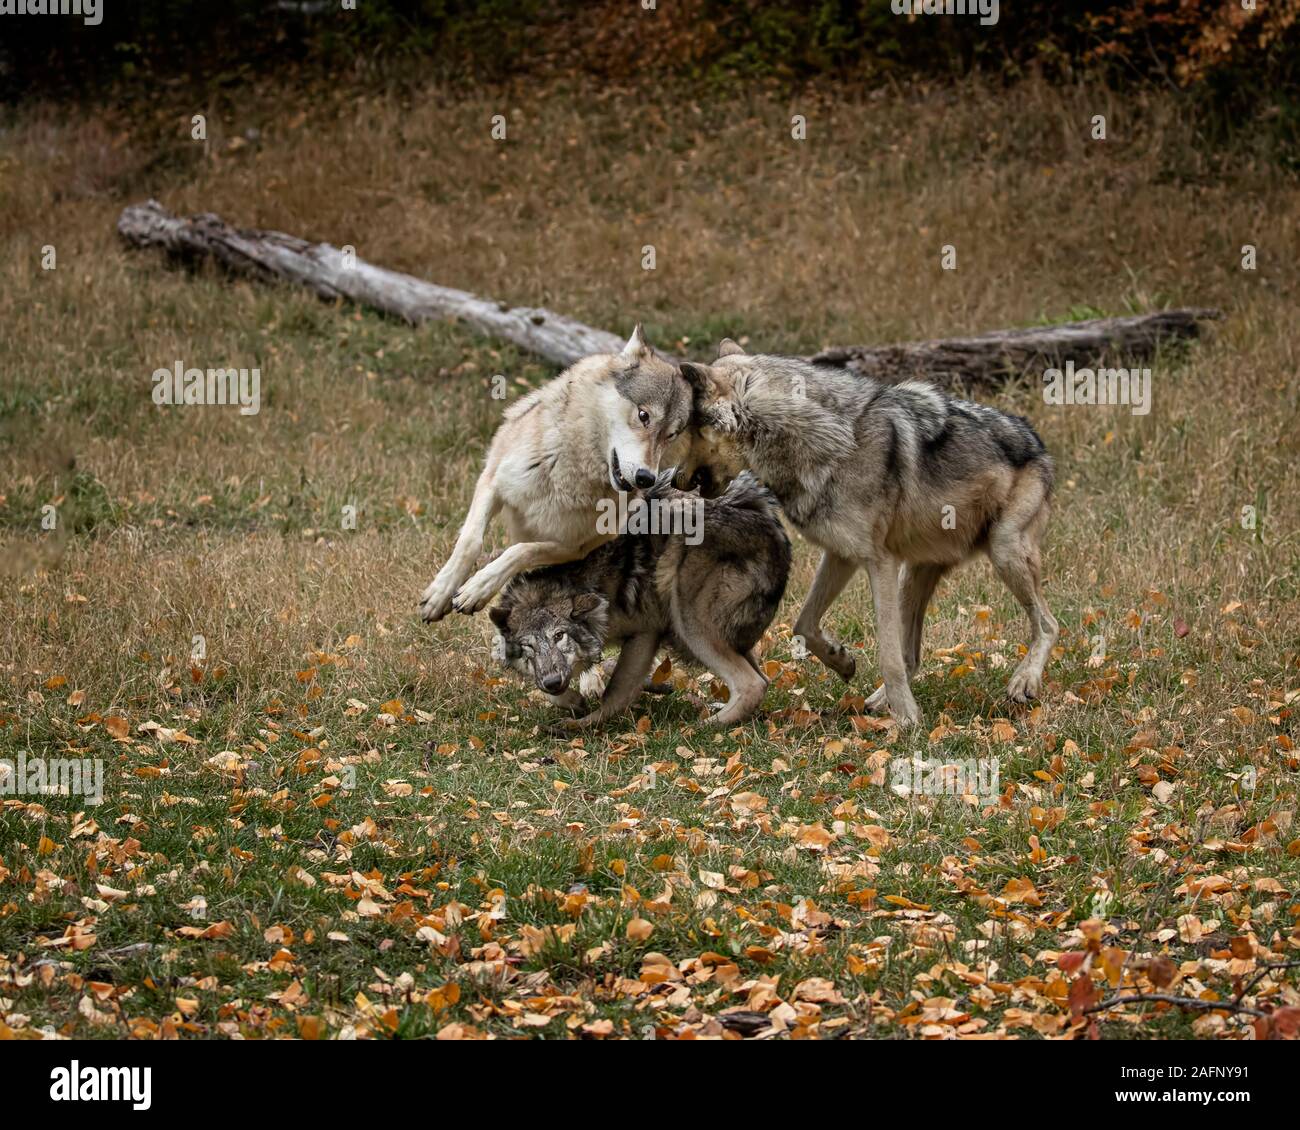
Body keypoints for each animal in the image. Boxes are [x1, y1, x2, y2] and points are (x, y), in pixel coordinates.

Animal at [421, 326, 696, 621]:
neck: (568, 472)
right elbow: (470, 541)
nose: (646, 478)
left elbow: (521, 552)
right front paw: (440, 594)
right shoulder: (492, 481)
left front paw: (478, 588)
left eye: (671, 435)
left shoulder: (572, 548)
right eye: (644, 416)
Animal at [488, 470, 785, 728]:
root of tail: (770, 522)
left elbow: (614, 693)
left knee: (753, 684)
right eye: (527, 646)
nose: (551, 681)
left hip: (688, 623)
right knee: (762, 679)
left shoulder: (645, 632)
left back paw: (703, 726)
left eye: (559, 636)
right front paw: (573, 700)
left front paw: (582, 724)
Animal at [681, 340, 1055, 733]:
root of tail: (1035, 438)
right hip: (916, 574)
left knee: (1048, 625)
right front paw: (842, 661)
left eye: (687, 430)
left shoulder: (879, 563)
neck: (829, 438)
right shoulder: (841, 555)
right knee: (912, 655)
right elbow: (804, 625)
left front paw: (908, 722)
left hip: (1003, 552)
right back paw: (879, 701)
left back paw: (1023, 681)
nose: (674, 478)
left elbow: (887, 656)